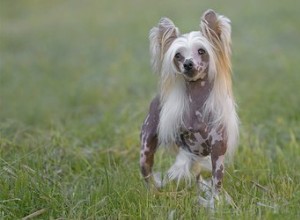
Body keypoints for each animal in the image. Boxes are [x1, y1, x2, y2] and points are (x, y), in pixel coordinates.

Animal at [139, 9, 239, 208]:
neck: (197, 104)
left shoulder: (218, 149)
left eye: (201, 51)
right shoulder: (186, 145)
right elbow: (187, 163)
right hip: (145, 150)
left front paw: (215, 203)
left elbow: (217, 180)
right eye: (178, 55)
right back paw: (154, 195)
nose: (188, 64)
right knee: (148, 175)